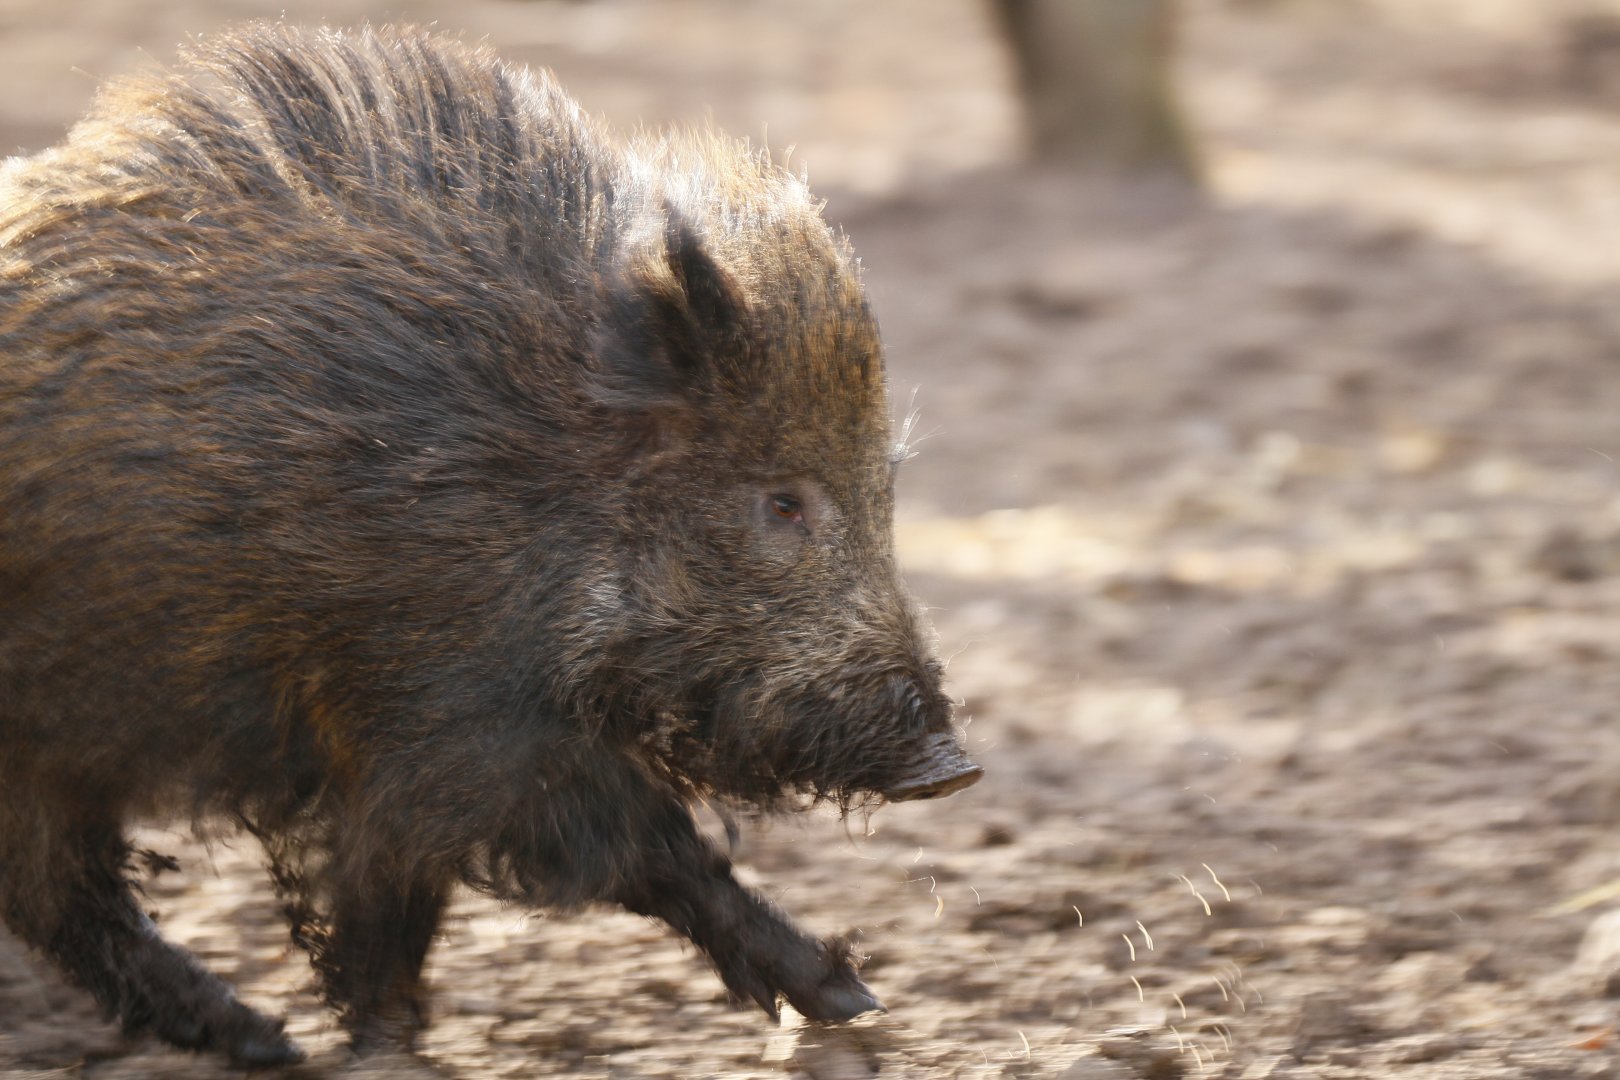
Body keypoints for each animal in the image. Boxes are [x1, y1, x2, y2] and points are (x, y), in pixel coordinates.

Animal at [0, 23, 981, 1067]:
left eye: (886, 487)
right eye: (783, 502)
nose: (955, 764)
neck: (533, 483)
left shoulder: (410, 739)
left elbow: (406, 892)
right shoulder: (444, 720)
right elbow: (639, 849)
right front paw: (850, 997)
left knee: (53, 895)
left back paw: (261, 1042)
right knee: (61, 895)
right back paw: (263, 1039)